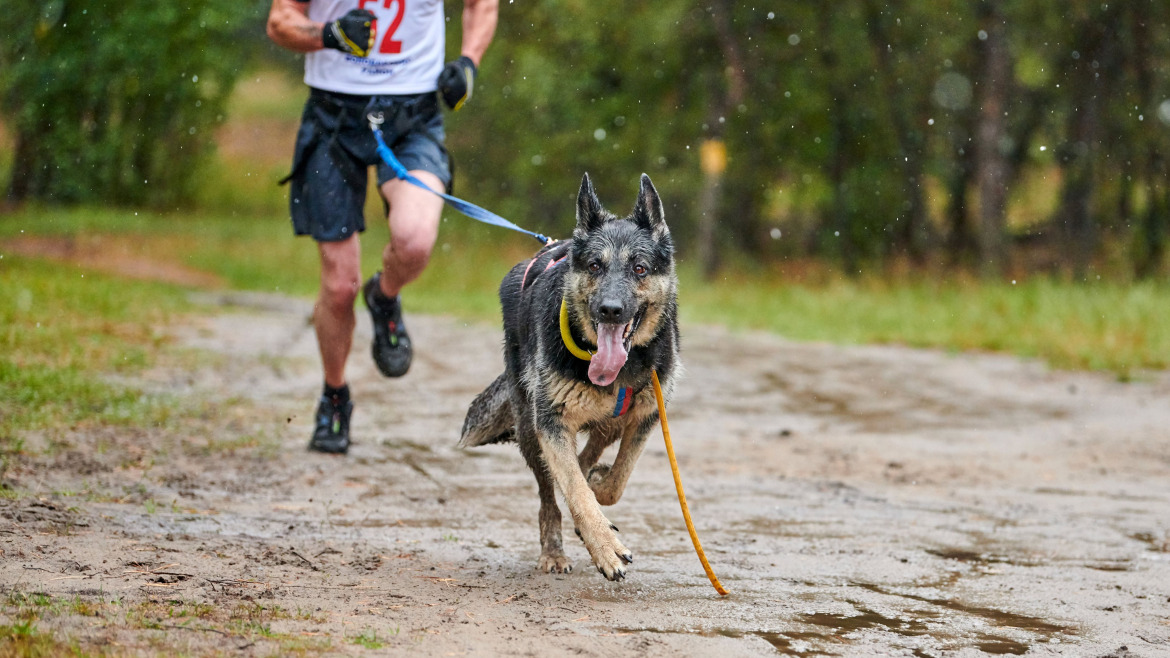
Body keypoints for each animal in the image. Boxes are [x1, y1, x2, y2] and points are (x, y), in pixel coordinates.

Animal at [456, 172, 678, 576]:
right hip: (531, 430)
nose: (610, 310)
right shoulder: (552, 424)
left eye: (639, 268)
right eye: (594, 266)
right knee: (550, 495)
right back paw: (554, 551)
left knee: (591, 452)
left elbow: (616, 479)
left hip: (606, 426)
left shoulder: (645, 417)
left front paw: (599, 483)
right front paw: (605, 547)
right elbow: (575, 489)